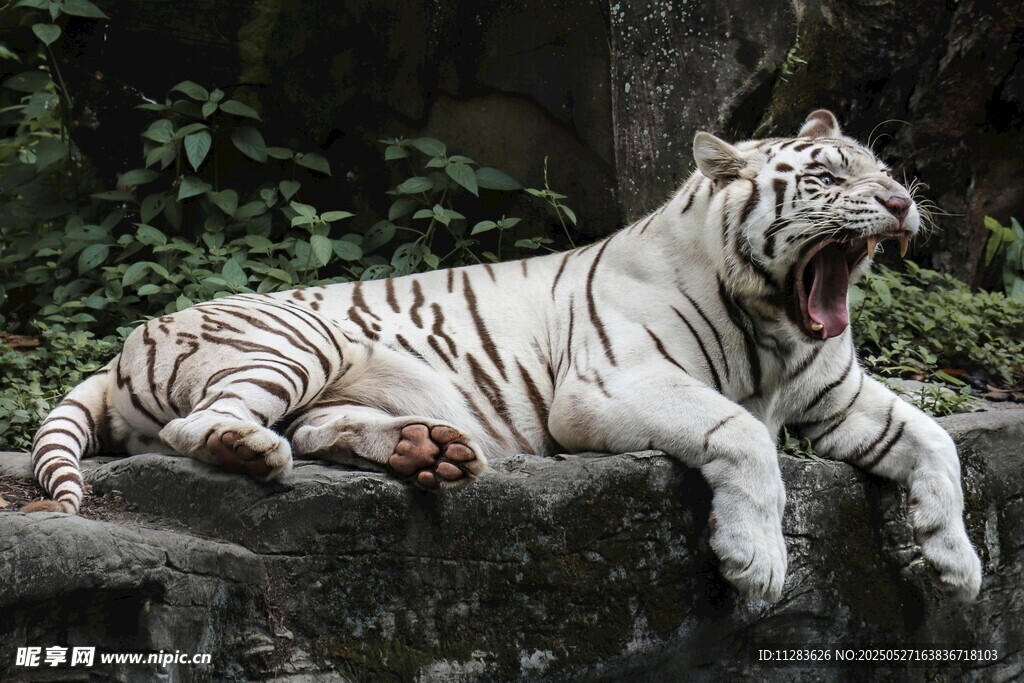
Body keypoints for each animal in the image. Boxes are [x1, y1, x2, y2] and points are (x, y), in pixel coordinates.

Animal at [24, 110, 982, 603]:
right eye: (827, 178)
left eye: (878, 167)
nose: (902, 201)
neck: (778, 324)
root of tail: (123, 347)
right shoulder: (609, 386)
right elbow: (742, 435)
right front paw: (759, 561)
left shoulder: (840, 394)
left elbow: (937, 443)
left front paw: (958, 563)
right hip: (292, 342)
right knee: (203, 427)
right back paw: (254, 451)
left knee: (323, 426)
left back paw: (430, 451)